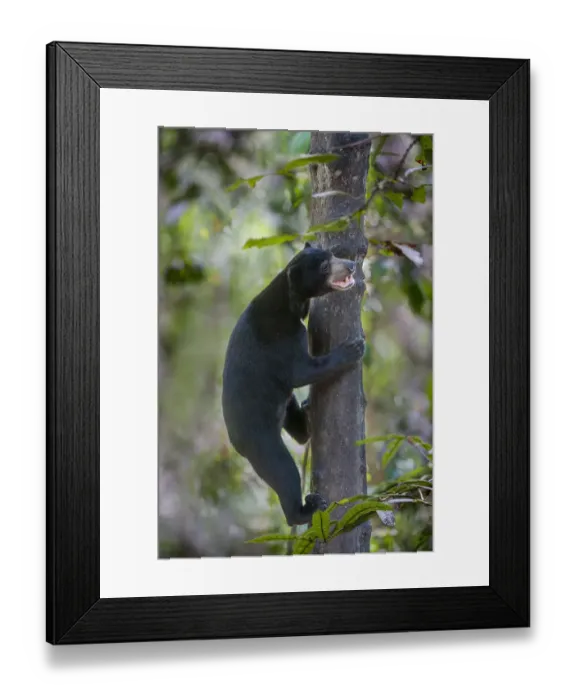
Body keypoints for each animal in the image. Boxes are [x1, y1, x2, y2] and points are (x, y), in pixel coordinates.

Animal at [221, 242, 365, 526]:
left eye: (332, 255)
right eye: (324, 266)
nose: (352, 265)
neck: (287, 302)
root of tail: (236, 444)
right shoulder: (283, 338)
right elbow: (302, 371)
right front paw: (354, 348)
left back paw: (307, 414)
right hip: (263, 442)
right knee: (284, 473)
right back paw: (307, 509)